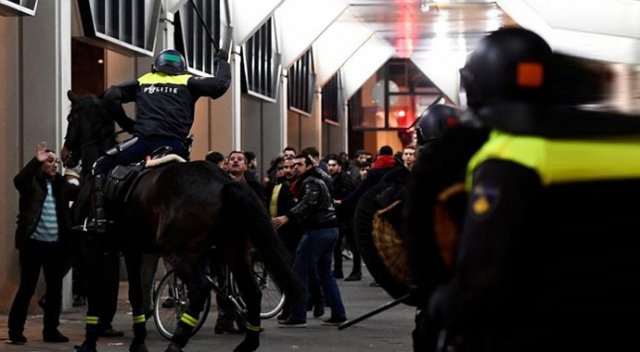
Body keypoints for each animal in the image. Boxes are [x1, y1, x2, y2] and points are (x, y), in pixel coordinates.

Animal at [60, 91, 300, 352]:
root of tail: (225, 182)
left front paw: (88, 342)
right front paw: (138, 343)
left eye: (70, 118)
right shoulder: (132, 250)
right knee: (251, 291)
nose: (65, 154)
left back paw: (176, 343)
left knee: (200, 290)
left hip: (181, 253)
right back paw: (247, 343)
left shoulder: (91, 248)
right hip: (232, 251)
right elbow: (136, 295)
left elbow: (95, 295)